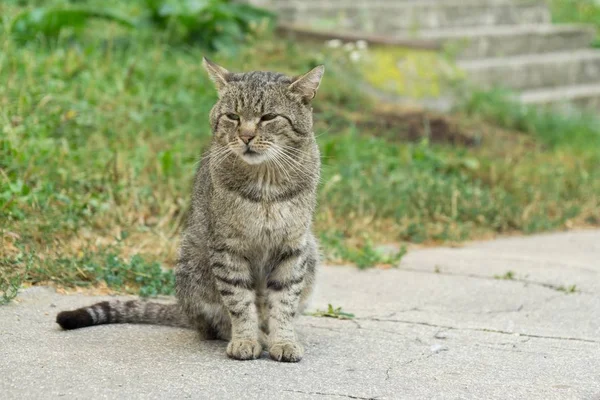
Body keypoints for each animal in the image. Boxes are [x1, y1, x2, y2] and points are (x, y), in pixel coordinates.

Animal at [57, 58, 324, 362]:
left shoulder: (293, 246)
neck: (265, 182)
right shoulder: (227, 247)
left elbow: (284, 302)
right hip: (193, 263)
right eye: (232, 116)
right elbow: (240, 302)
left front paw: (284, 341)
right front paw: (246, 339)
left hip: (312, 251)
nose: (246, 136)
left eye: (268, 117)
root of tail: (184, 310)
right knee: (215, 324)